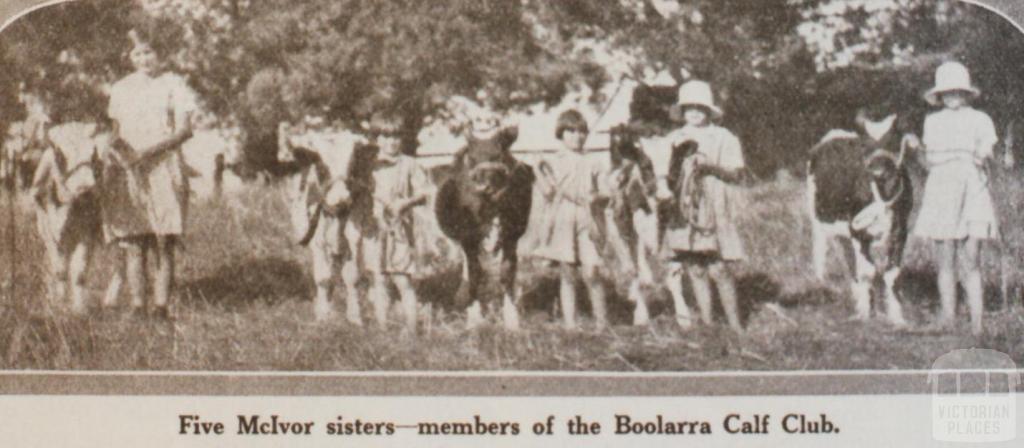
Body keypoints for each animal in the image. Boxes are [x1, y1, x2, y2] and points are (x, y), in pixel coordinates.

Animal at [806, 113, 921, 325]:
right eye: (866, 146)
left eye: (894, 140)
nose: (877, 171)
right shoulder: (857, 231)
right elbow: (868, 271)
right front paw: (868, 314)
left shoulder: (900, 231)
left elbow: (892, 273)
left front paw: (897, 318)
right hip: (820, 220)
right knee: (825, 254)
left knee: (850, 262)